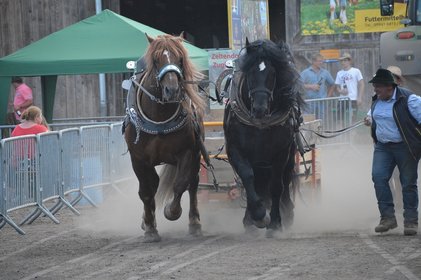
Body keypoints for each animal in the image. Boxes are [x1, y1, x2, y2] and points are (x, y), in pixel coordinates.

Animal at [221, 37, 304, 234]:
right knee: (256, 181)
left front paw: (275, 222)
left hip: (288, 155)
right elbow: (247, 177)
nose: (260, 108)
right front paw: (258, 215)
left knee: (285, 179)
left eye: (273, 73)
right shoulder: (235, 149)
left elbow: (276, 186)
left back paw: (287, 212)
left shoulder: (281, 152)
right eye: (250, 72)